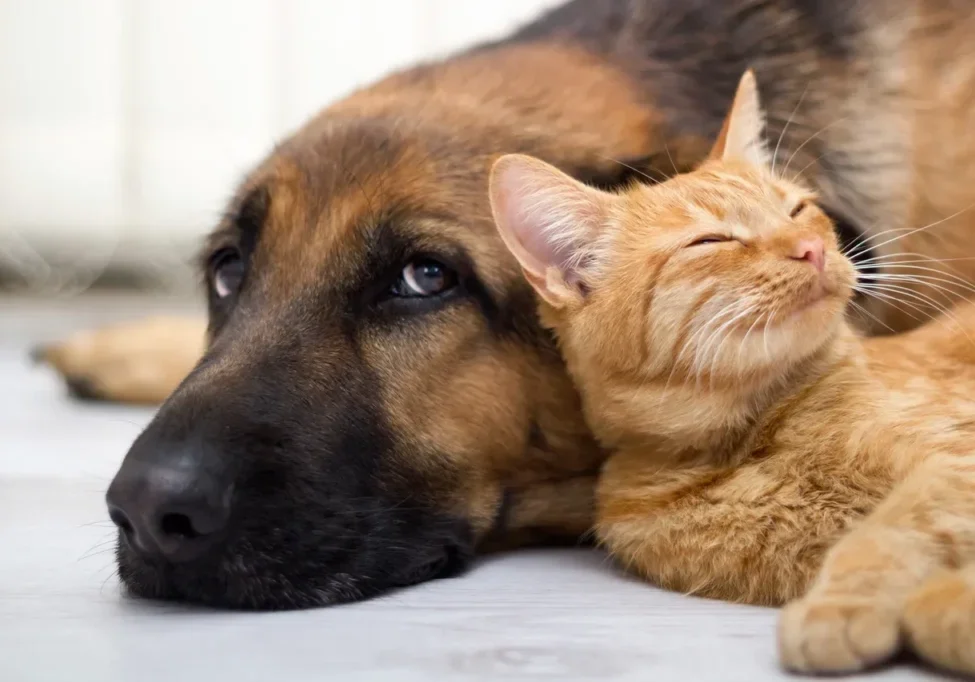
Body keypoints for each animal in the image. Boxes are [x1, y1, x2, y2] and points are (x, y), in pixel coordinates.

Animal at [488, 70, 975, 676]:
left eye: (797, 211)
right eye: (712, 241)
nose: (811, 249)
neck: (753, 440)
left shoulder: (956, 458)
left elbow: (895, 526)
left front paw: (842, 606)